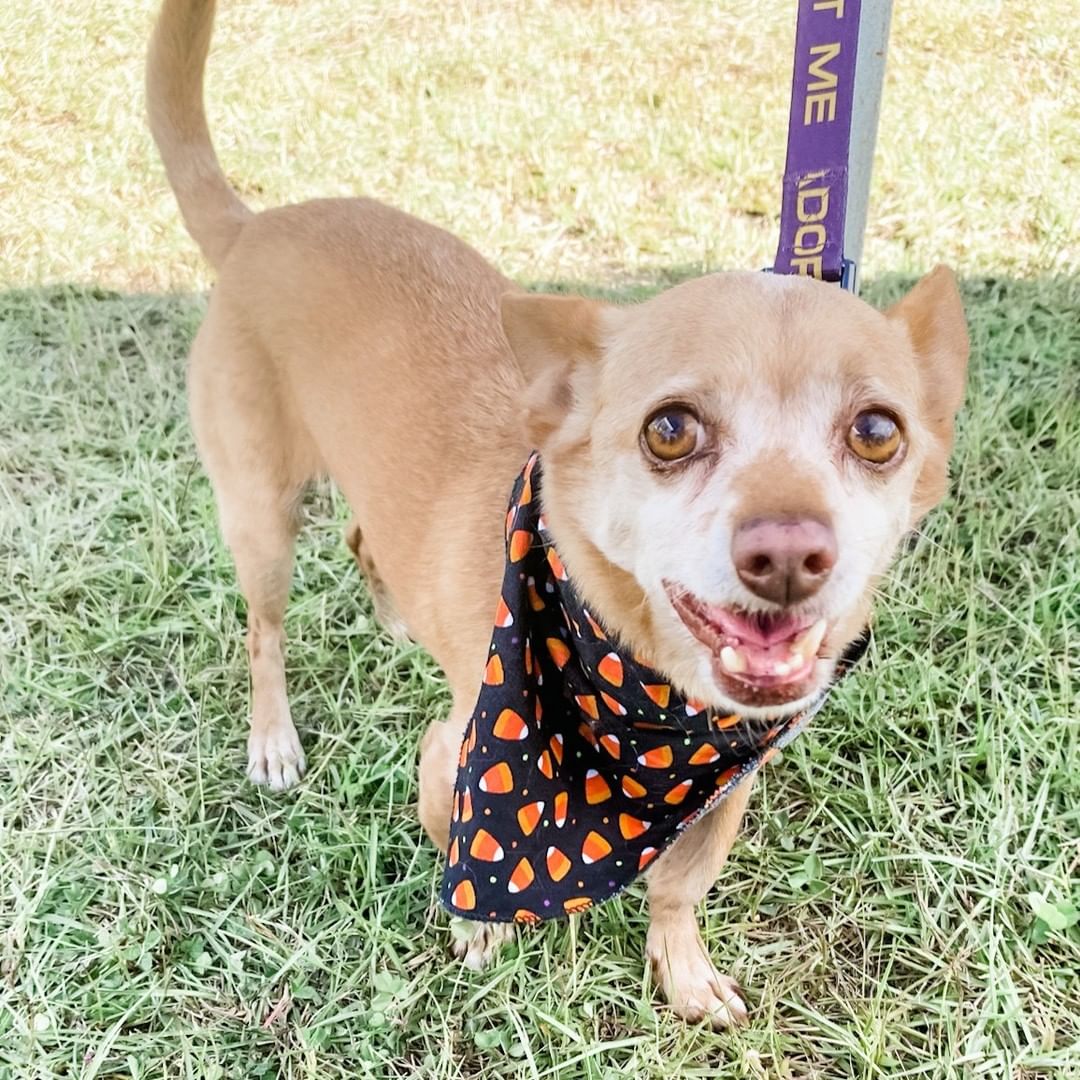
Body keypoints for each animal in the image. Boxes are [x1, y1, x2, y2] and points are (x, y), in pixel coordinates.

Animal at [145, 0, 972, 1028]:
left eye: (876, 431)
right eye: (669, 430)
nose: (788, 554)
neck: (652, 695)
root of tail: (257, 227)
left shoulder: (727, 784)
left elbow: (680, 885)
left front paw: (681, 968)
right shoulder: (457, 759)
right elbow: (463, 857)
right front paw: (480, 928)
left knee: (362, 533)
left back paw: (392, 615)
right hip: (261, 512)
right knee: (264, 628)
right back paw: (272, 740)